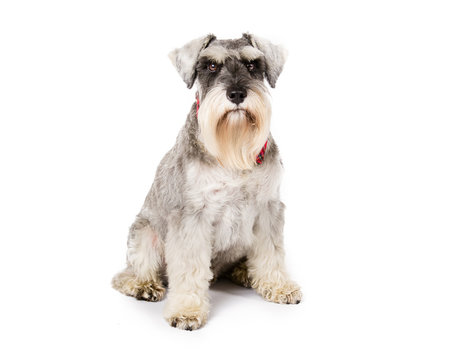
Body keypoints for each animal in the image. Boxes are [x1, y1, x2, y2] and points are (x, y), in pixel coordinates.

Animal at [112, 34, 302, 332]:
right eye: (211, 66)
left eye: (252, 65)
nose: (236, 94)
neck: (232, 150)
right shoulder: (192, 216)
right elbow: (189, 267)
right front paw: (187, 310)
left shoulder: (268, 207)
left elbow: (272, 252)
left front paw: (279, 286)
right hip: (145, 233)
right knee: (128, 273)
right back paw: (143, 285)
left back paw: (244, 272)